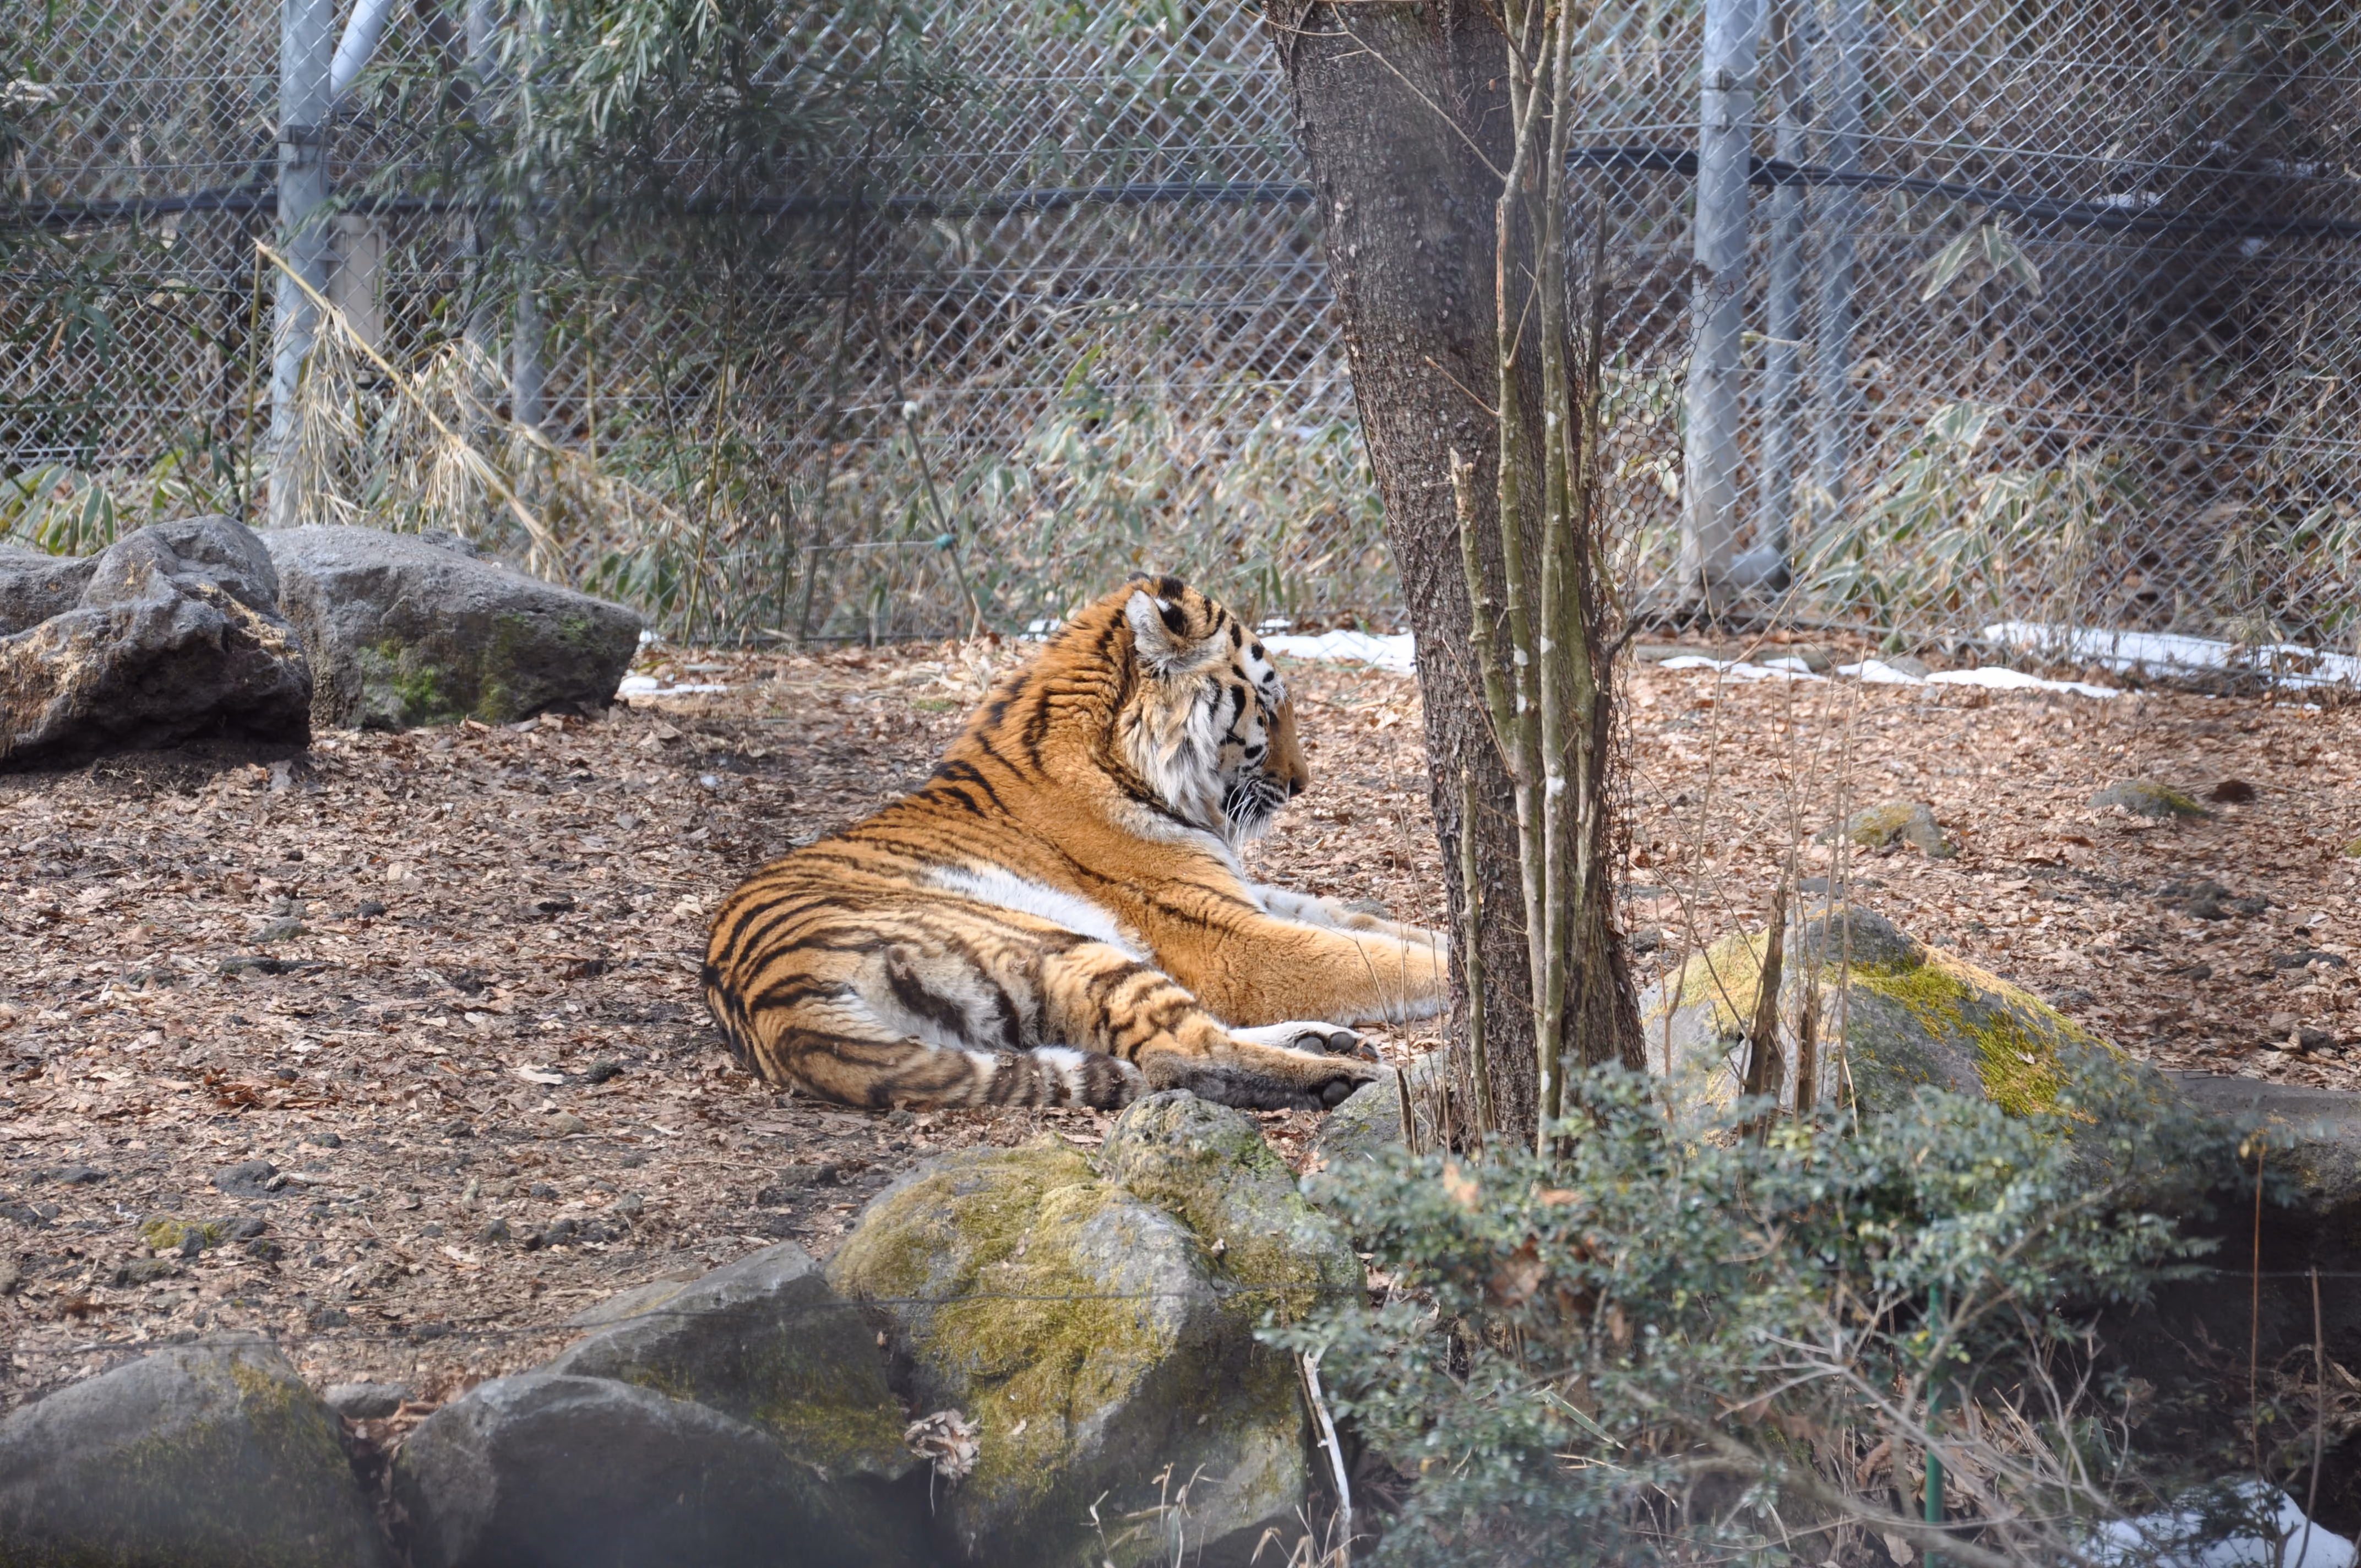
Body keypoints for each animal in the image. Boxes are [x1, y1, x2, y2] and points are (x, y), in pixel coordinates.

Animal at [701, 575, 1449, 1112]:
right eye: (1267, 707)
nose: (1301, 785)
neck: (1123, 759)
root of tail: (772, 1000)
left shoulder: (1238, 895)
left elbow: (1358, 923)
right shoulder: (1226, 938)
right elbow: (1366, 955)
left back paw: (1323, 1038)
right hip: (1061, 946)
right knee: (1178, 1053)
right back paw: (1338, 1074)